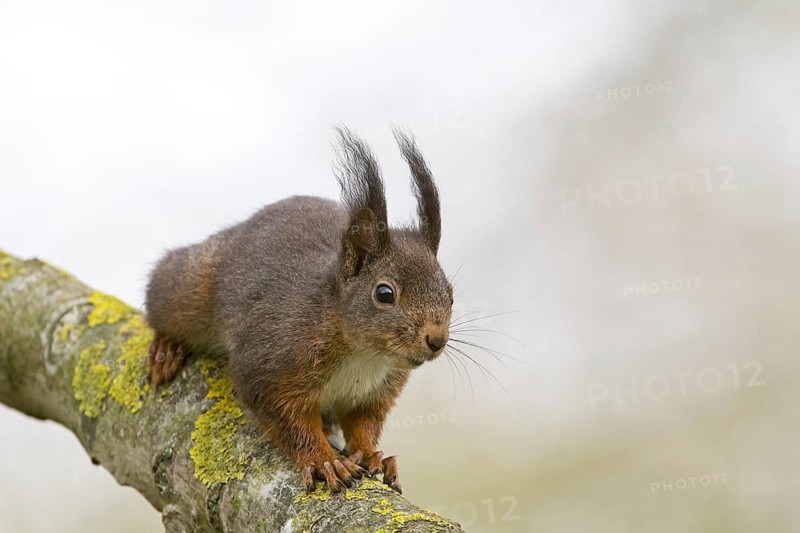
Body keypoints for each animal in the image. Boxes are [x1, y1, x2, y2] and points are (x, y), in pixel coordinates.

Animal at [144, 128, 453, 494]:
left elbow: (364, 424)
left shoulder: (375, 391)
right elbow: (288, 421)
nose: (436, 339)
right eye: (384, 293)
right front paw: (325, 462)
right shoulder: (272, 360)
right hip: (191, 289)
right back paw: (166, 347)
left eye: (450, 294)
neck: (363, 353)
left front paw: (372, 456)